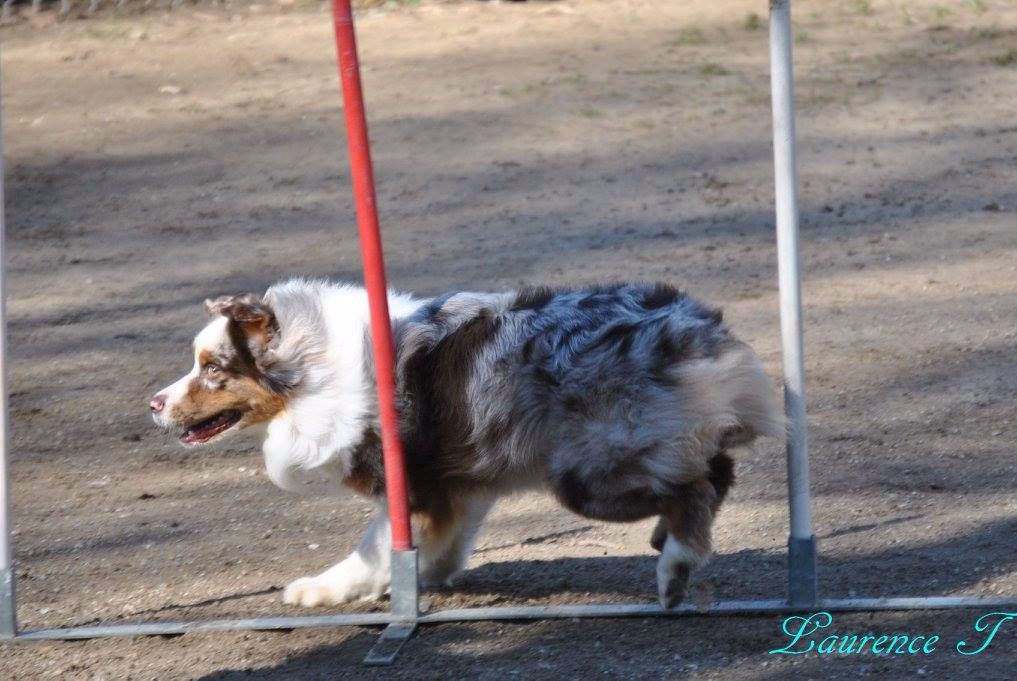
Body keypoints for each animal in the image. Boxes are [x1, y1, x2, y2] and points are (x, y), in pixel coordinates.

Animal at [150, 280, 781, 609]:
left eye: (213, 369)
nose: (154, 404)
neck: (313, 369)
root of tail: (695, 329)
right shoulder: (461, 484)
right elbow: (447, 541)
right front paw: (427, 574)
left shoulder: (410, 485)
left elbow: (372, 547)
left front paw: (325, 589)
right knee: (714, 470)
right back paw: (666, 539)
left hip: (587, 474)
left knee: (696, 487)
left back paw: (675, 566)